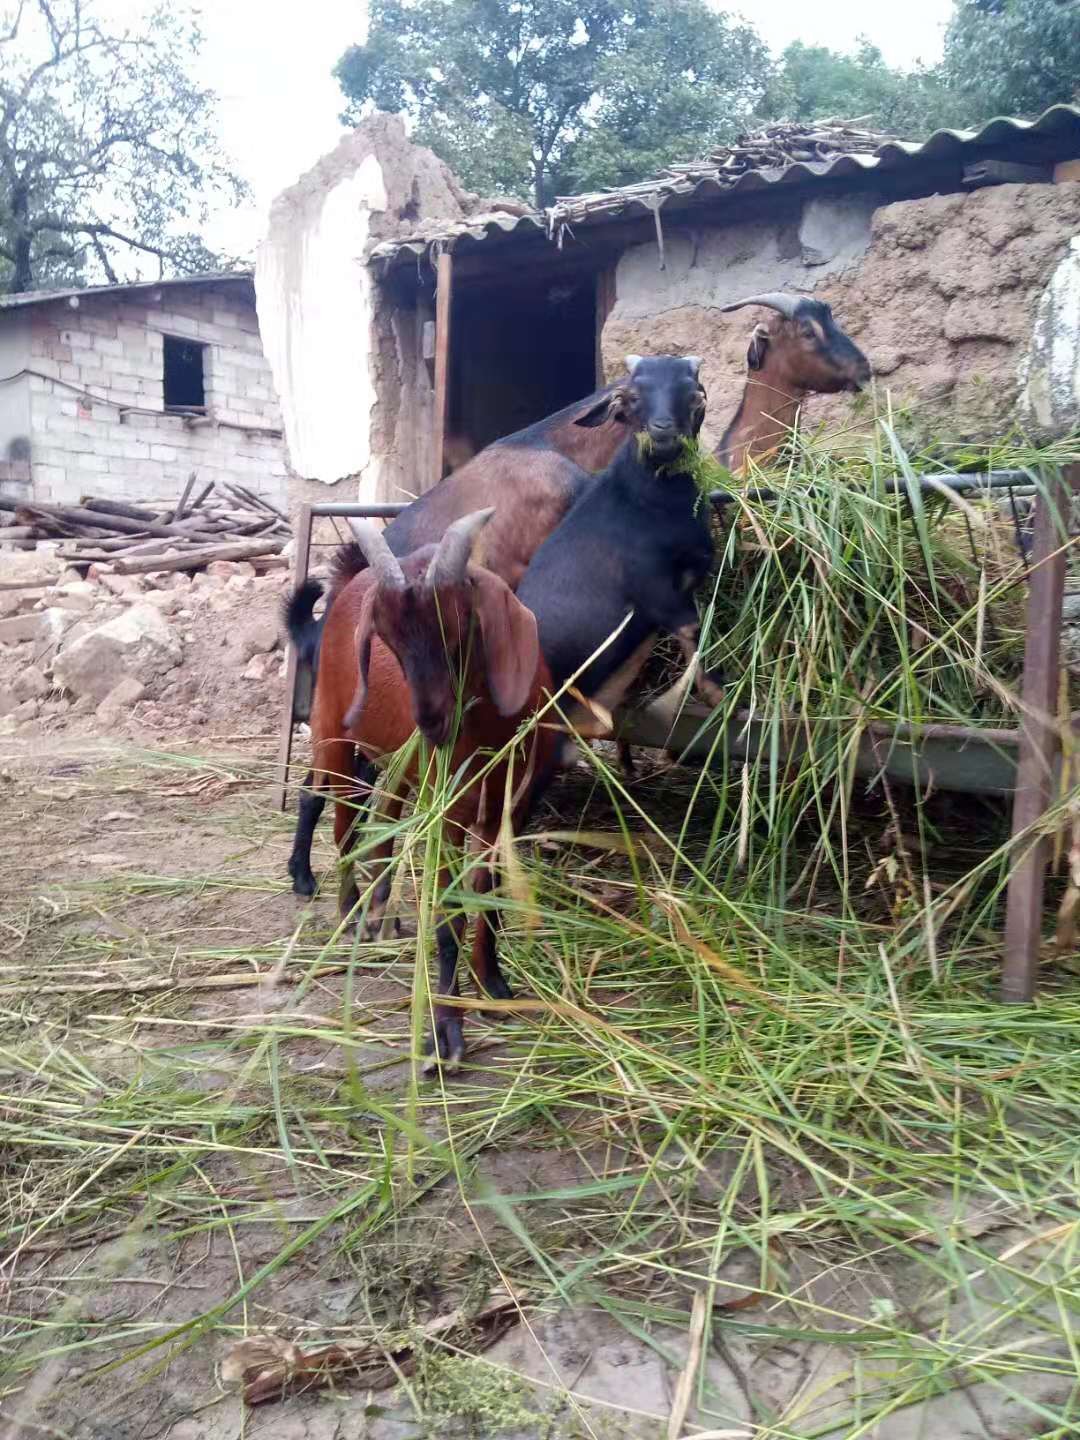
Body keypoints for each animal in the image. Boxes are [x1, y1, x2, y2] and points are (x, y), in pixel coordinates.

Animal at [288, 509, 558, 1071]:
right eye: (386, 639)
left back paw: (379, 914)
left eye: (461, 625)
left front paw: (493, 984)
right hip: (335, 735)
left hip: (397, 765)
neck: (488, 732)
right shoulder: (447, 809)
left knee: (382, 824)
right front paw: (445, 1032)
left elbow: (489, 897)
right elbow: (449, 913)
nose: (432, 723)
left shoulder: (509, 806)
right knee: (342, 822)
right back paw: (349, 915)